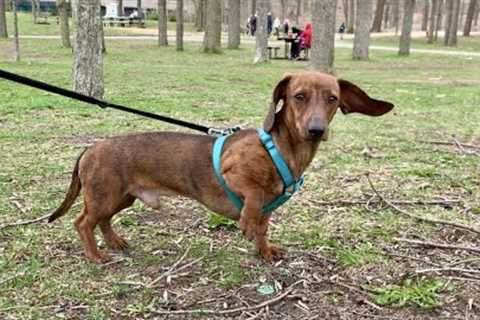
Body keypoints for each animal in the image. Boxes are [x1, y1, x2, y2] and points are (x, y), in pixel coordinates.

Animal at [48, 70, 394, 262]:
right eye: (299, 96)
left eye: (333, 98)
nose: (317, 130)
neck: (281, 148)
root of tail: (91, 147)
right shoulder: (236, 176)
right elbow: (253, 198)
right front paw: (246, 224)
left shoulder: (269, 211)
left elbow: (263, 231)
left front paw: (265, 252)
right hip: (104, 196)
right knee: (83, 223)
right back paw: (95, 256)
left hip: (121, 198)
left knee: (102, 221)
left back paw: (115, 242)